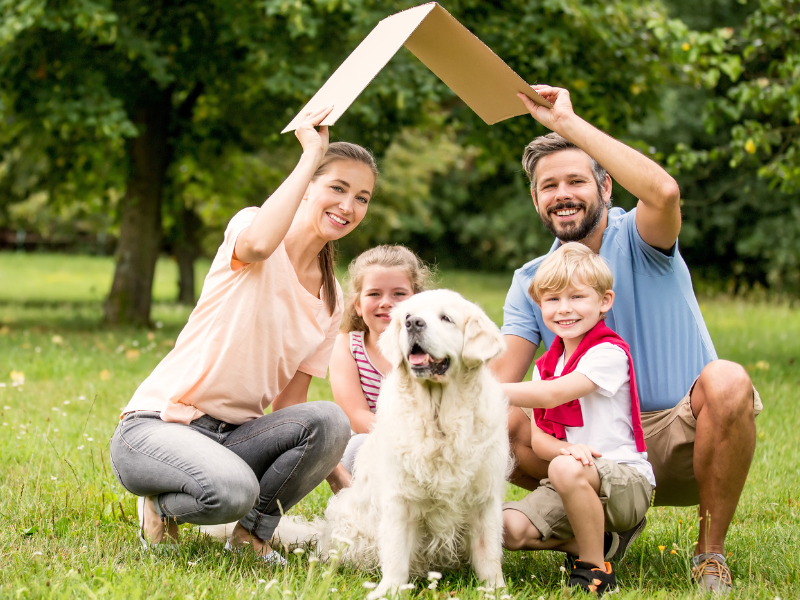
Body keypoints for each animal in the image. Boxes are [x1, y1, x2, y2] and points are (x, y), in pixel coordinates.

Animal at [276, 290, 510, 596]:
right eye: (407, 316)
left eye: (446, 318)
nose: (413, 323)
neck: (439, 420)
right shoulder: (400, 498)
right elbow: (397, 552)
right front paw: (388, 591)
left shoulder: (485, 499)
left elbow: (489, 553)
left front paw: (496, 590)